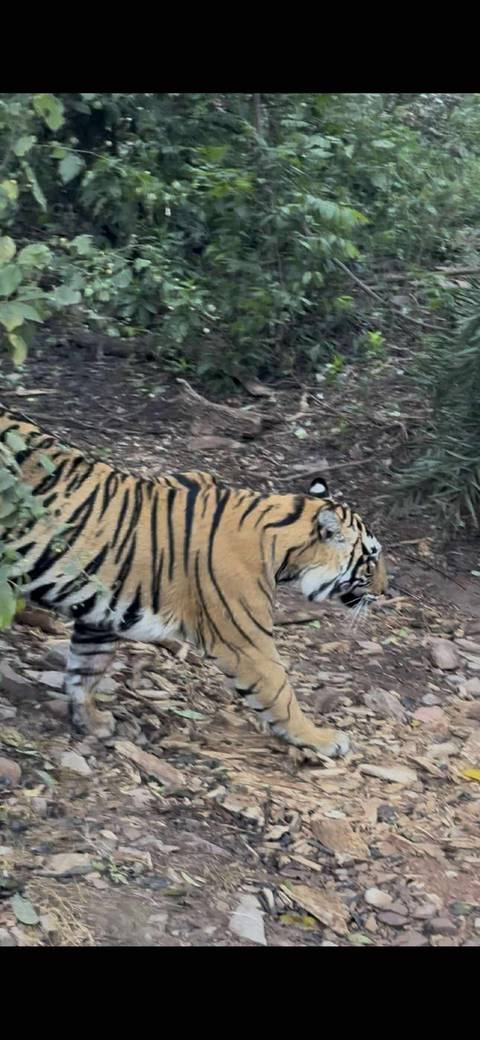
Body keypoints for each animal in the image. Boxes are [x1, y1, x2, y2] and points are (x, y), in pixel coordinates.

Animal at [0, 404, 387, 758]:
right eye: (371, 557)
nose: (385, 591)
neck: (282, 545)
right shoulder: (244, 640)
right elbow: (280, 691)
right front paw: (321, 738)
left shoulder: (100, 612)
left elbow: (86, 668)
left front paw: (91, 720)